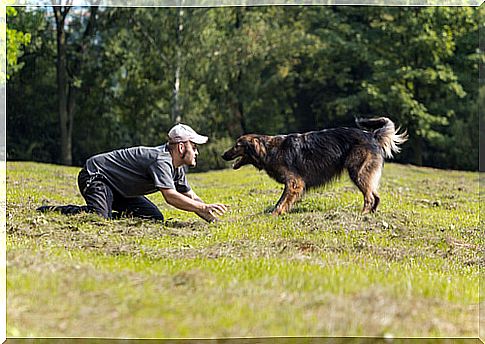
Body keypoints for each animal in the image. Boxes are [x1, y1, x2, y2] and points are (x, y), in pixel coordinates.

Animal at [221, 118, 406, 215]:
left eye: (237, 145)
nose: (223, 155)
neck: (269, 149)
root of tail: (372, 135)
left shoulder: (294, 182)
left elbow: (281, 201)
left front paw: (275, 214)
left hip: (357, 172)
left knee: (369, 197)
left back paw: (363, 214)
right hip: (364, 174)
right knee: (376, 196)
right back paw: (371, 214)